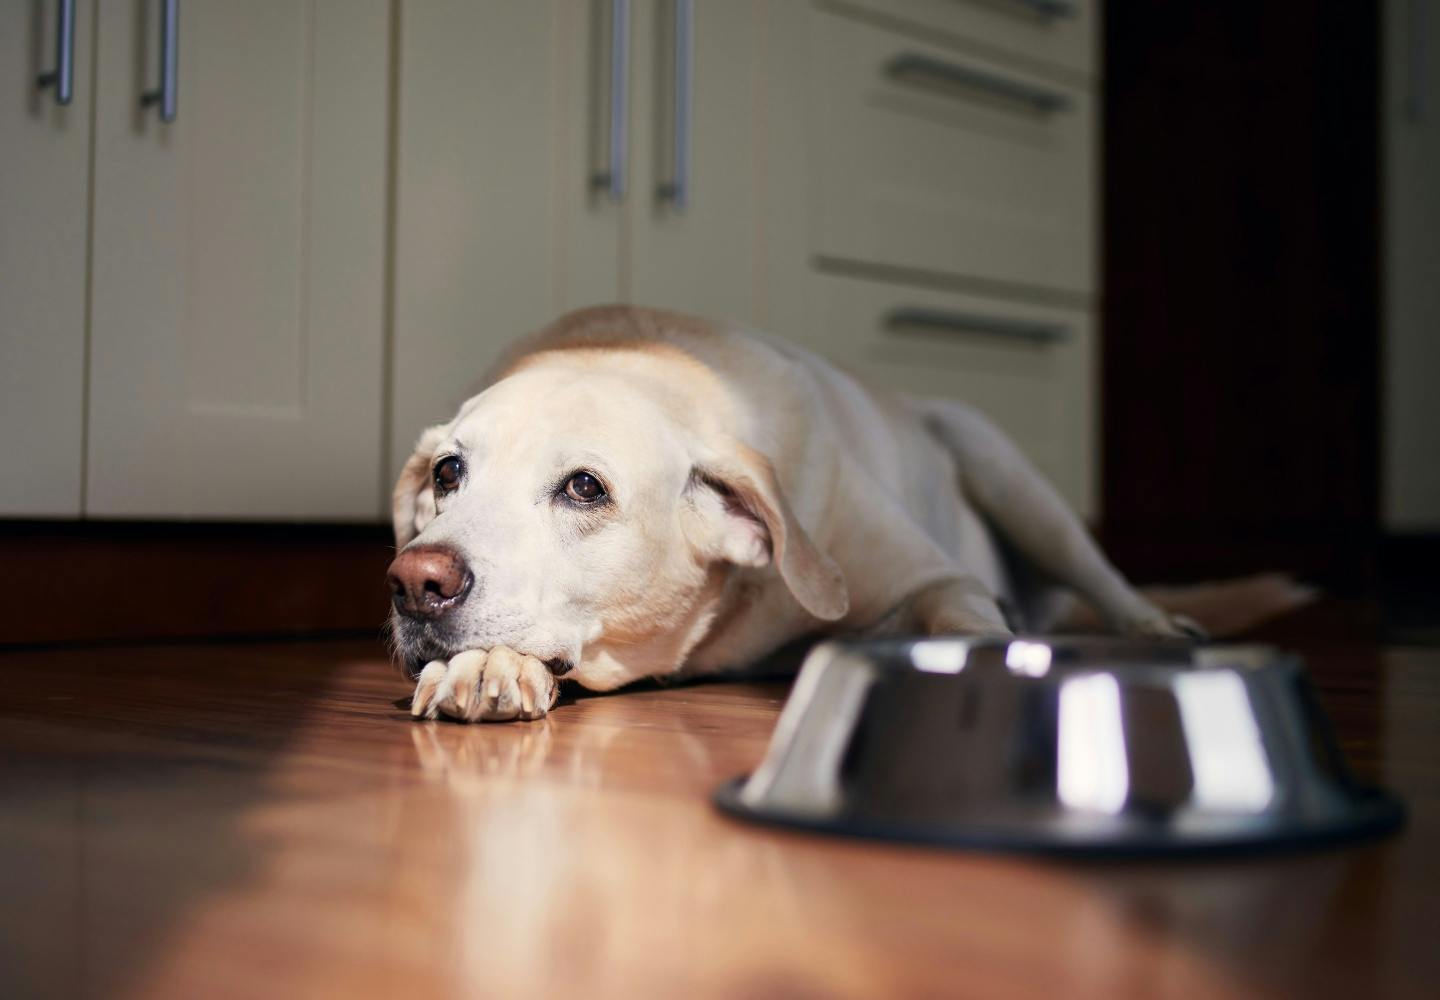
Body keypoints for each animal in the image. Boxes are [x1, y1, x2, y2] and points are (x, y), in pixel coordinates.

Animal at [383, 305, 1272, 720]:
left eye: (584, 488)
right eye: (449, 472)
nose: (416, 580)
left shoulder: (933, 577)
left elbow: (962, 617)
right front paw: (485, 666)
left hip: (1004, 467)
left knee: (1102, 574)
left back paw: (1153, 624)